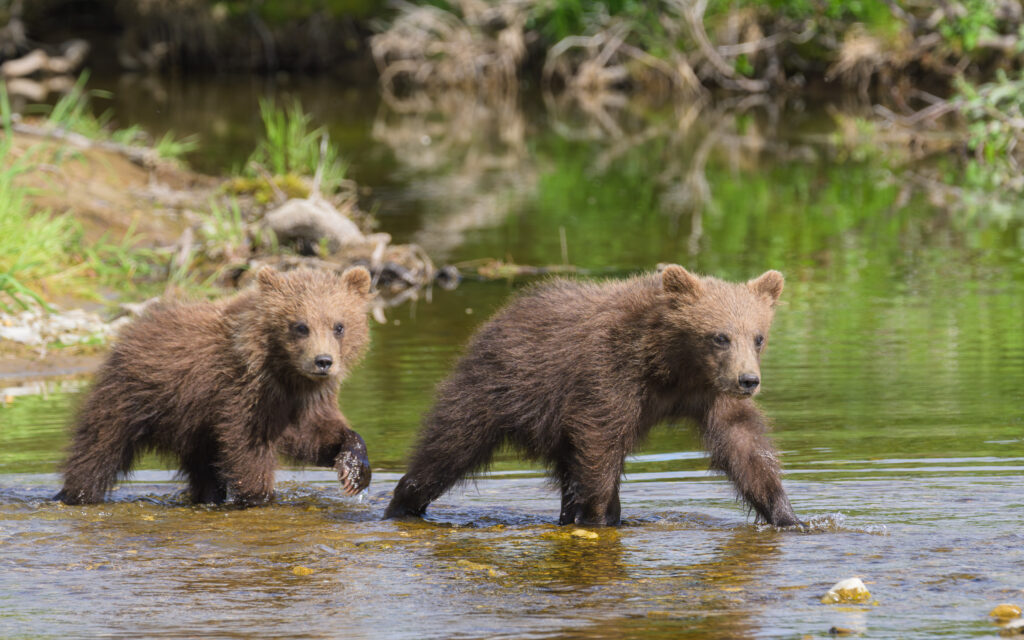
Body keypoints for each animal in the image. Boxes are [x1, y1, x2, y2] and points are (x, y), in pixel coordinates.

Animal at [56, 266, 374, 506]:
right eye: (300, 326)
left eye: (339, 326)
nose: (323, 361)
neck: (284, 372)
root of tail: (133, 328)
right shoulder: (241, 392)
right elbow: (247, 448)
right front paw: (258, 496)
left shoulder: (303, 399)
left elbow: (313, 434)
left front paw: (354, 470)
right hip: (132, 396)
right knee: (98, 448)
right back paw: (77, 493)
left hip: (194, 427)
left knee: (203, 469)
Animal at [384, 265, 801, 527]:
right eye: (719, 336)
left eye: (758, 337)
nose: (748, 381)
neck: (670, 365)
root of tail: (495, 319)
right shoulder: (608, 373)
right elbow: (601, 440)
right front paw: (600, 517)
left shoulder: (710, 392)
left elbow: (743, 443)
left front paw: (788, 515)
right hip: (495, 389)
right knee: (448, 448)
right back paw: (401, 503)